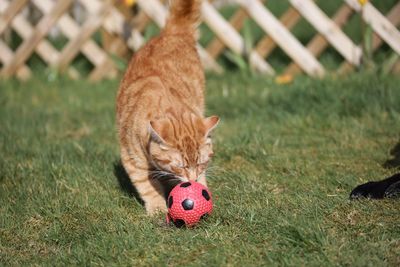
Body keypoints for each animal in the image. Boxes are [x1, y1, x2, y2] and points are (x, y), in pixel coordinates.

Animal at [115, 0, 219, 215]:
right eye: (180, 166)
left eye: (201, 162)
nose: (191, 180)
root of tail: (172, 32)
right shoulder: (132, 160)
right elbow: (147, 186)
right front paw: (157, 208)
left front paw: (201, 187)